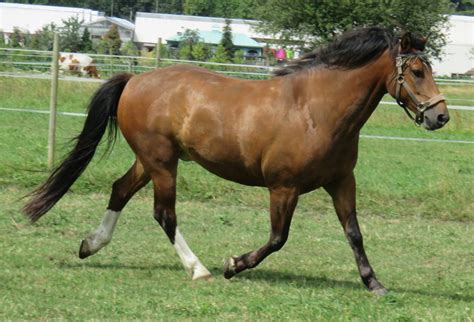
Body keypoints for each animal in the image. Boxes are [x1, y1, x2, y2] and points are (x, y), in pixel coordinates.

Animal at [25, 27, 448, 294]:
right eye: (416, 71)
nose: (440, 116)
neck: (317, 110)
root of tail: (134, 80)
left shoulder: (341, 182)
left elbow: (354, 234)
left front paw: (374, 283)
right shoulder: (284, 187)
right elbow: (278, 238)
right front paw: (233, 264)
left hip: (150, 161)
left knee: (119, 191)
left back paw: (90, 244)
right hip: (162, 163)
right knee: (165, 214)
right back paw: (199, 270)